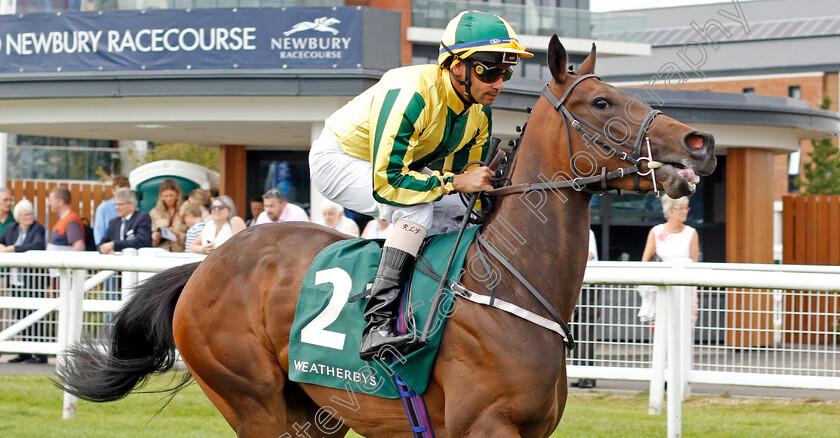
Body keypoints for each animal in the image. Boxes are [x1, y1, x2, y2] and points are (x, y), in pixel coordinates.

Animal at [57, 36, 716, 436]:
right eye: (603, 101)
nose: (700, 142)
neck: (508, 286)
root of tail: (206, 265)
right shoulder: (485, 426)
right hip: (254, 403)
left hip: (309, 410)